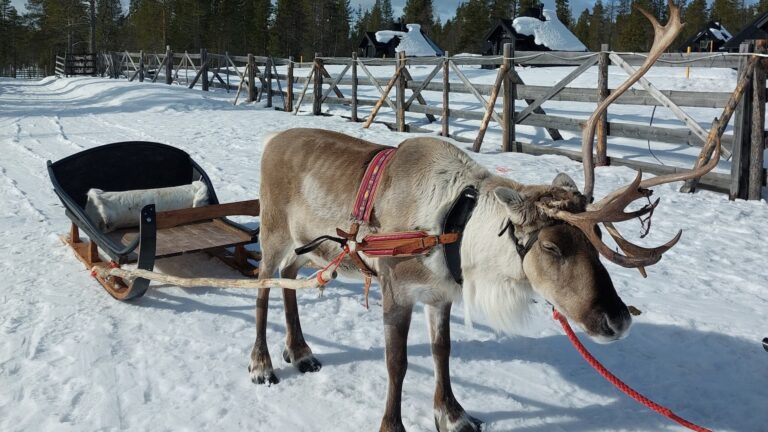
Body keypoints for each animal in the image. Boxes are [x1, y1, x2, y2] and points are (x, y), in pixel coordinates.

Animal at [248, 2, 717, 431]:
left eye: (597, 237)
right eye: (551, 246)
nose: (617, 320)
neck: (453, 228)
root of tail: (270, 140)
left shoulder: (440, 294)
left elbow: (442, 353)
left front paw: (453, 415)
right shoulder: (396, 289)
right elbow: (397, 364)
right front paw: (393, 424)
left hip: (305, 248)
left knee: (288, 281)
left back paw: (301, 351)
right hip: (272, 233)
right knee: (263, 285)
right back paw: (263, 363)